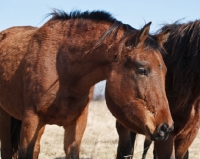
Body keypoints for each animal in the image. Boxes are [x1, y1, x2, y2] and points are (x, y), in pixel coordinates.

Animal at [0, 10, 173, 159]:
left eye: (164, 70)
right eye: (142, 70)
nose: (166, 128)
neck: (63, 70)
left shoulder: (76, 124)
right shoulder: (32, 120)